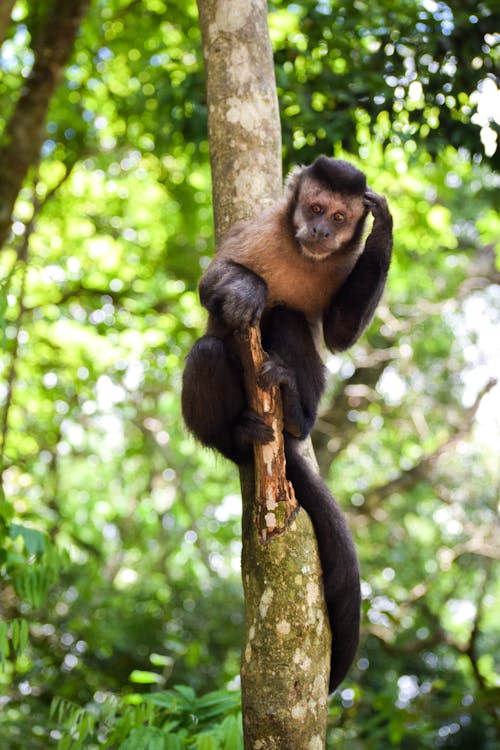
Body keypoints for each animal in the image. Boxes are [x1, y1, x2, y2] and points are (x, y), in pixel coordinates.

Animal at [182, 157, 392, 692]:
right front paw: (246, 290)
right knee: (210, 348)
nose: (320, 230)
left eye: (339, 218)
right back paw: (238, 438)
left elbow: (338, 334)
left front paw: (384, 229)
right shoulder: (255, 231)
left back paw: (295, 415)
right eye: (315, 208)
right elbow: (211, 284)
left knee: (291, 318)